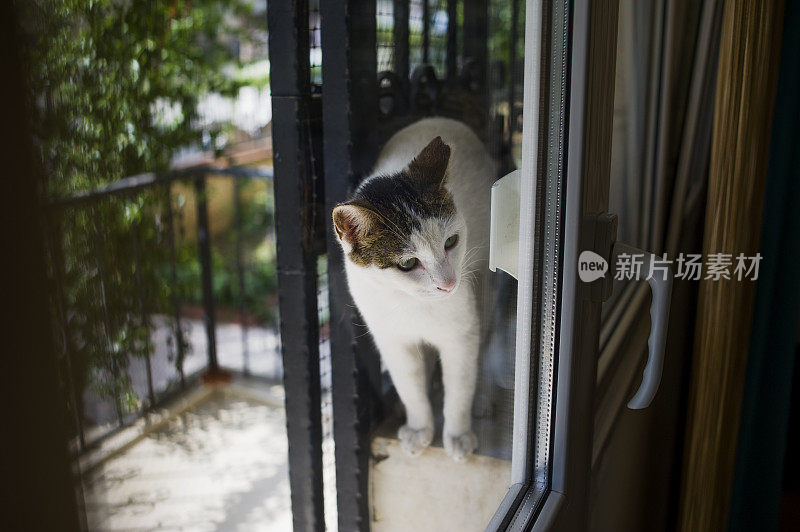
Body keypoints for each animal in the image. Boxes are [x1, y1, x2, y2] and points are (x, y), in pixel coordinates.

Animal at [330, 117, 494, 462]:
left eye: (451, 242)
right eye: (407, 264)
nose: (449, 284)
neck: (411, 304)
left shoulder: (461, 334)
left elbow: (460, 385)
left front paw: (458, 435)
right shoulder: (393, 340)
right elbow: (410, 387)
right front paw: (420, 428)